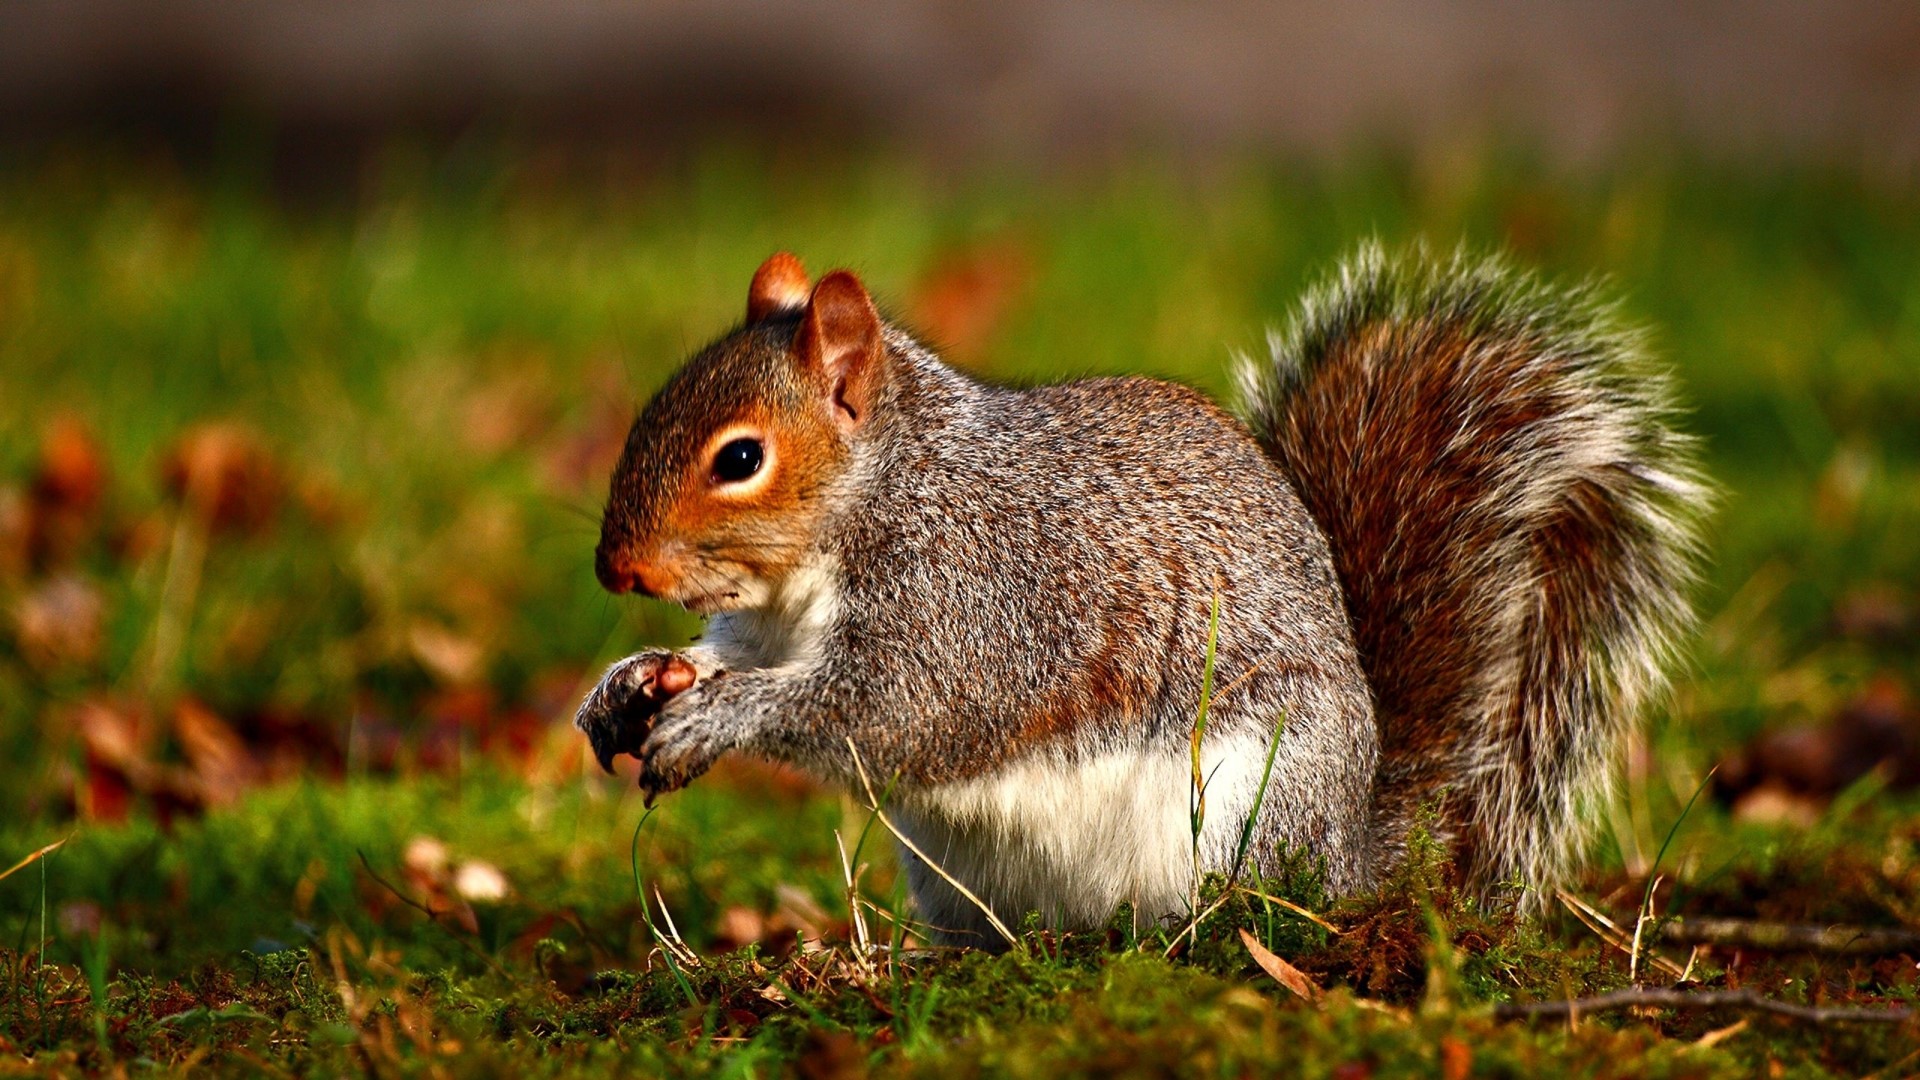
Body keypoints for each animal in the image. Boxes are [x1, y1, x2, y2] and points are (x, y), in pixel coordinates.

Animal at [574, 245, 1709, 946]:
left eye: (740, 458)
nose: (615, 571)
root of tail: (1352, 856)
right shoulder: (770, 622)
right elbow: (734, 657)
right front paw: (633, 681)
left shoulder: (975, 597)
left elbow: (893, 707)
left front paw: (717, 719)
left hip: (1243, 807)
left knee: (1249, 908)